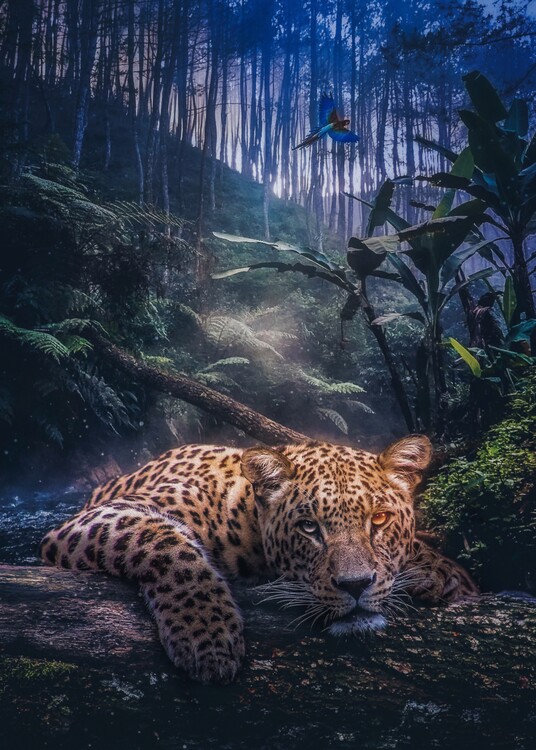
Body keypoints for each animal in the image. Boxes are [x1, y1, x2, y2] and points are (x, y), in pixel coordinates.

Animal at [40, 435, 478, 684]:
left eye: (380, 519)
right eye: (308, 527)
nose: (355, 586)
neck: (247, 520)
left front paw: (442, 573)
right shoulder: (94, 520)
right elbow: (162, 541)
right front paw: (207, 635)